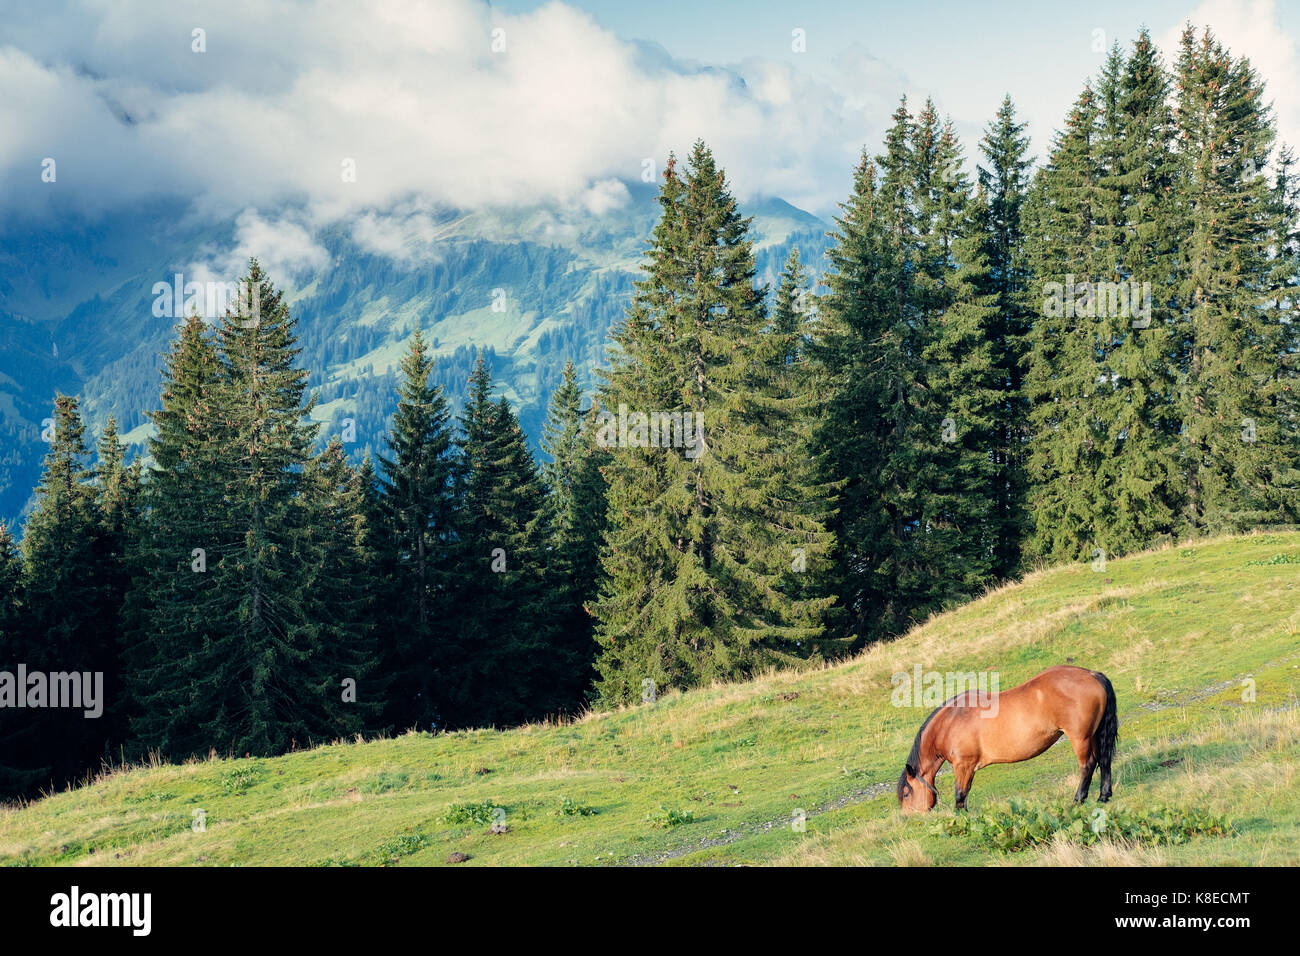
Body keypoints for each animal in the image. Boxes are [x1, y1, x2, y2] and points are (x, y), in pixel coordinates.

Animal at [894, 665, 1118, 816]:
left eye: (906, 794)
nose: (908, 818)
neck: (952, 720)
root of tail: (1092, 675)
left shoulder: (963, 765)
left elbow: (960, 793)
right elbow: (965, 792)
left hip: (1081, 738)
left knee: (1087, 766)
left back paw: (1078, 800)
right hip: (1095, 735)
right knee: (1104, 761)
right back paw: (1103, 796)